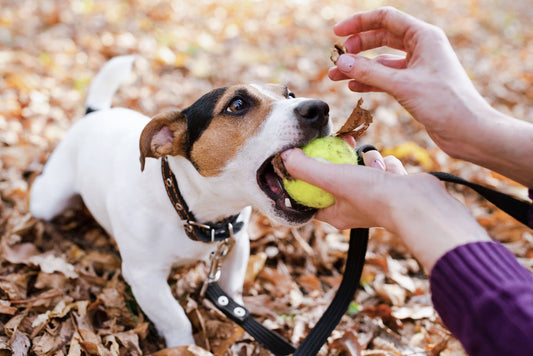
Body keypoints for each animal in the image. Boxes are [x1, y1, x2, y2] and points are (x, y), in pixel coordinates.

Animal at [29, 56, 330, 348]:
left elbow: (232, 291)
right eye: (237, 104)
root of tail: (96, 113)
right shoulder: (144, 276)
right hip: (48, 200)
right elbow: (176, 318)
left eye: (290, 94)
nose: (320, 108)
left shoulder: (237, 244)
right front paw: (185, 346)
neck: (188, 207)